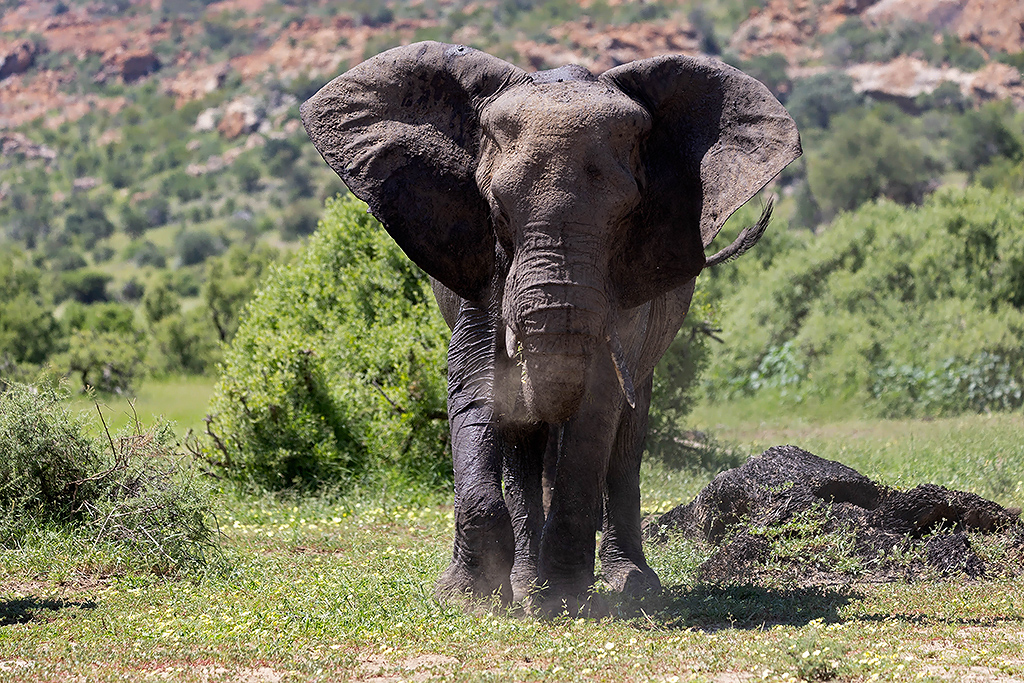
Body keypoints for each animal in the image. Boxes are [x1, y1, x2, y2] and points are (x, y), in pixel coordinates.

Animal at [301, 41, 801, 615]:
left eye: (627, 215)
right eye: (496, 211)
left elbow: (597, 408)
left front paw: (563, 598)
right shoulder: (482, 265)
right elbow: (474, 384)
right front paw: (470, 598)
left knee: (626, 435)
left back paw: (626, 584)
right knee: (526, 441)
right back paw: (523, 580)